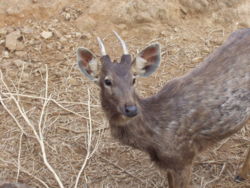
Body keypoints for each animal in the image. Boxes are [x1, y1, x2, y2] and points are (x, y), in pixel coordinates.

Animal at [76, 28, 250, 187]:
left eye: (133, 79)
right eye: (107, 81)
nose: (131, 109)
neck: (155, 139)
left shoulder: (183, 156)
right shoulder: (169, 164)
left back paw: (241, 175)